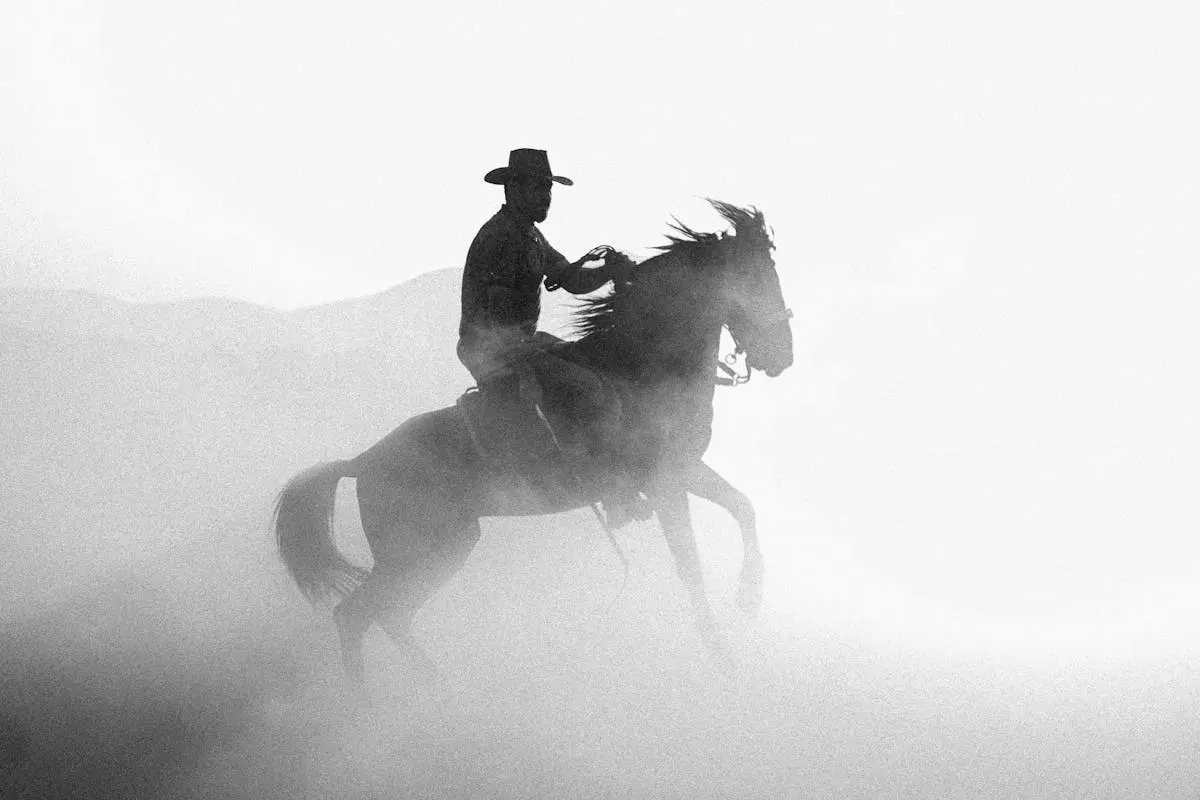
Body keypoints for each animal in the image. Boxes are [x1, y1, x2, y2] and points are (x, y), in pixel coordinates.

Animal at [274, 200, 792, 690]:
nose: (783, 355)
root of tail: (362, 462)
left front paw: (749, 595)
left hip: (445, 548)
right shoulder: (665, 484)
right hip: (418, 550)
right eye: (755, 278)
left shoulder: (685, 470)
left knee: (388, 616)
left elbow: (743, 507)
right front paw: (725, 659)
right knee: (356, 614)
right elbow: (692, 570)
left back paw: (437, 690)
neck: (638, 365)